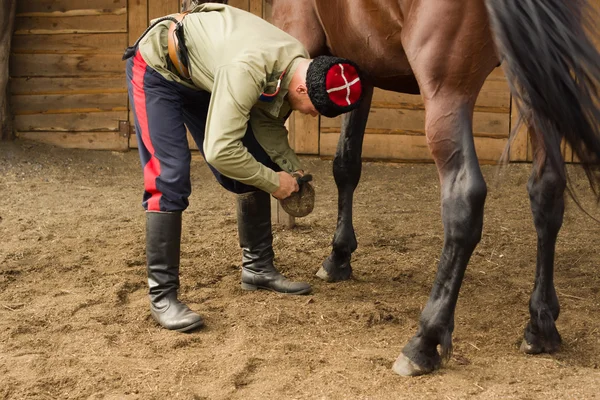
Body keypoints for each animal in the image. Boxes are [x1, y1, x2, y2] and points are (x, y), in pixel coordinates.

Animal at [182, 0, 600, 376]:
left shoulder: (297, 35)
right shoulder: (357, 68)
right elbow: (346, 163)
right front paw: (339, 256)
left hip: (449, 92)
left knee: (465, 199)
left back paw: (424, 342)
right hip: (534, 84)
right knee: (547, 188)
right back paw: (540, 325)